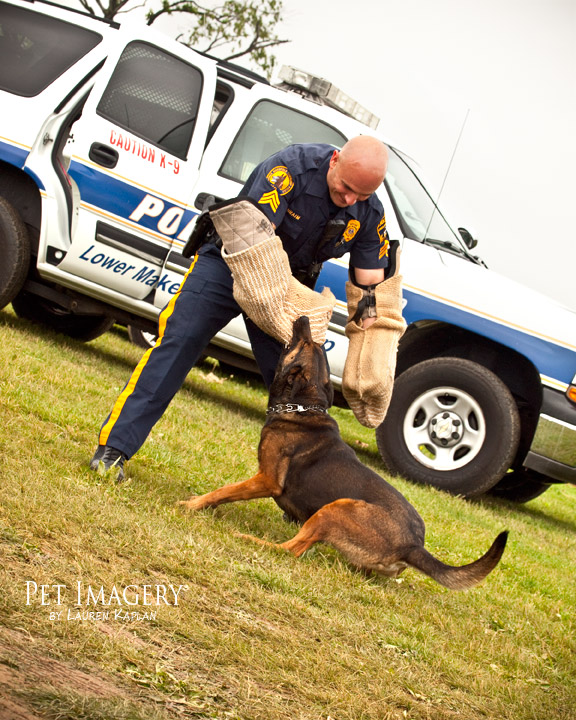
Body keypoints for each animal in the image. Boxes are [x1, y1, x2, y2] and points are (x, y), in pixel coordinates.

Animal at [181, 316, 508, 592]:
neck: (304, 408)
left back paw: (250, 539)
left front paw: (194, 504)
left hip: (336, 507)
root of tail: (413, 545)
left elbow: (225, 490)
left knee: (291, 550)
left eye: (304, 344)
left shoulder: (267, 479)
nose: (304, 318)